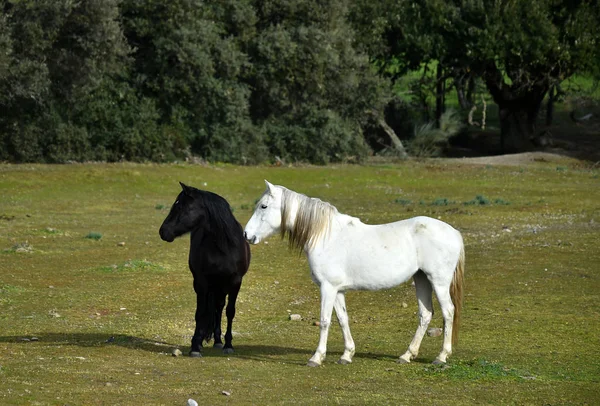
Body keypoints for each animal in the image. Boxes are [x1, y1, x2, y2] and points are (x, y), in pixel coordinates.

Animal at [158, 182, 250, 356]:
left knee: (219, 307)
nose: (163, 232)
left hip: (221, 286)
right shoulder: (201, 282)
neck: (223, 247)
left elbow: (230, 311)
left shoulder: (235, 282)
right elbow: (200, 313)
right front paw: (195, 346)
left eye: (180, 207)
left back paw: (219, 341)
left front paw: (228, 345)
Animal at [244, 182, 464, 366]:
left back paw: (441, 357)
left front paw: (317, 357)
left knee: (448, 312)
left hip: (439, 282)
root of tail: (454, 233)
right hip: (422, 279)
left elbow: (325, 321)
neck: (326, 235)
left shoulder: (327, 288)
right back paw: (407, 355)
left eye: (263, 206)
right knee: (425, 314)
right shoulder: (337, 290)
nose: (247, 235)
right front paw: (347, 355)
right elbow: (343, 319)